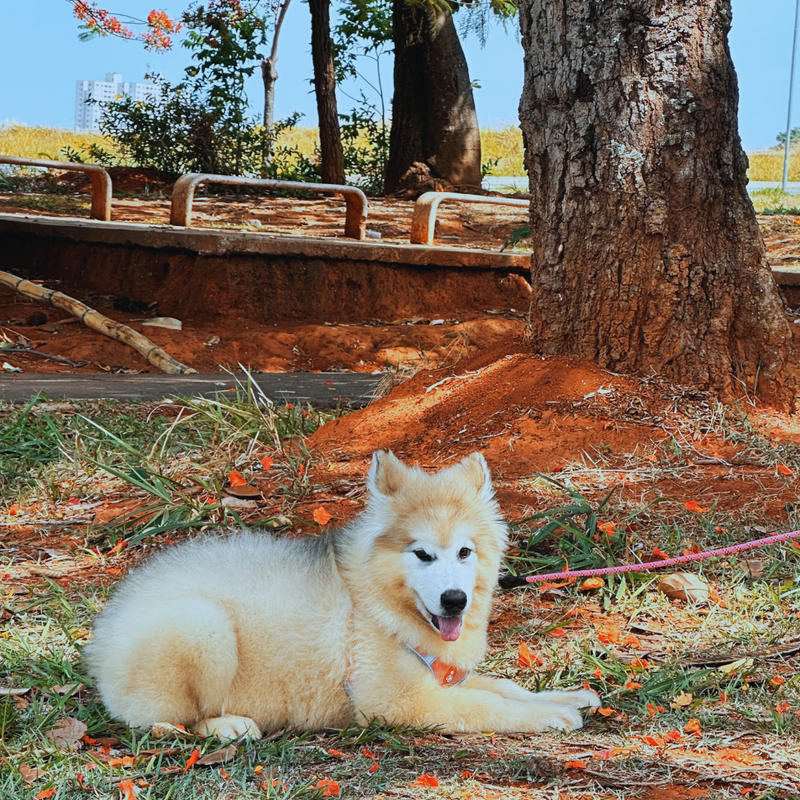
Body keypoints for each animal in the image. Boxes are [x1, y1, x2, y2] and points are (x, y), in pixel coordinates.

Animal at [86, 450, 600, 736]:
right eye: (422, 555)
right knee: (165, 723)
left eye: (465, 552)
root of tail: (104, 635)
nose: (455, 600)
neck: (380, 602)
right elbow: (486, 704)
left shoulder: (439, 674)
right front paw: (549, 717)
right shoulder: (397, 701)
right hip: (202, 626)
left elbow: (503, 686)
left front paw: (566, 697)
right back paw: (228, 726)